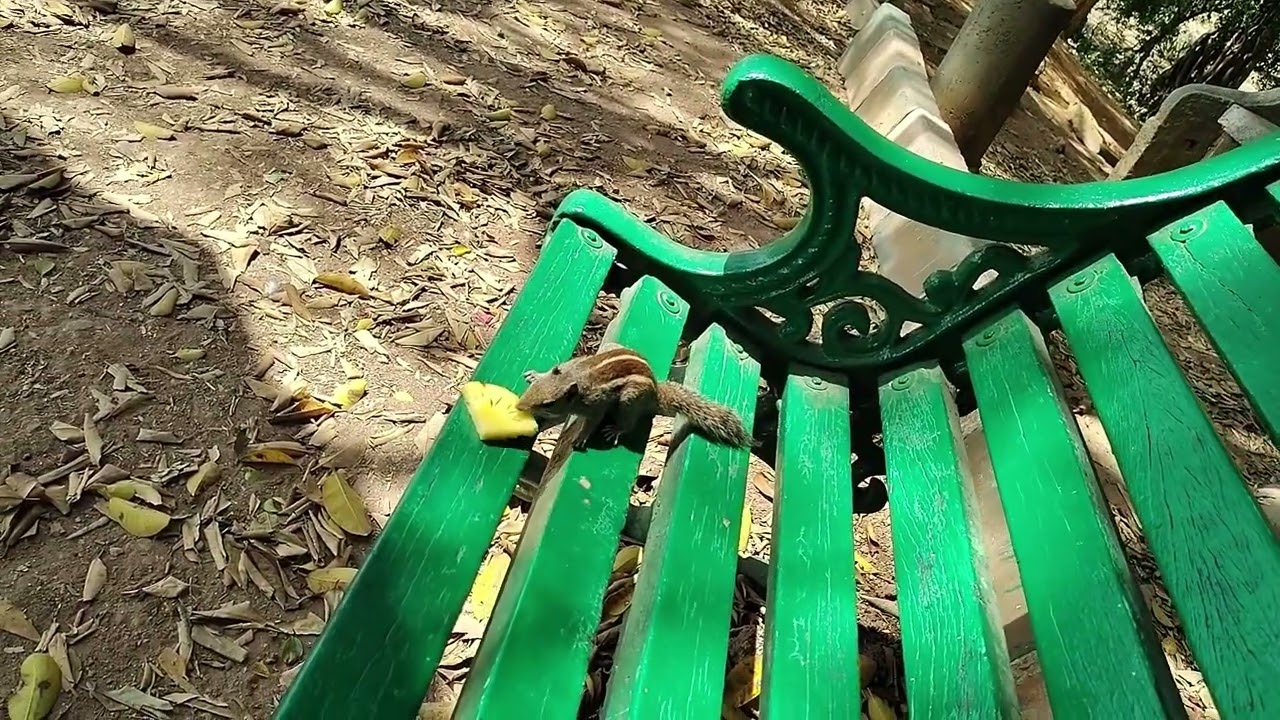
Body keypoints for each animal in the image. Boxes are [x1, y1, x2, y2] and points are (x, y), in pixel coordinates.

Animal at [516, 347, 754, 450]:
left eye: (549, 403)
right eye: (535, 388)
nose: (520, 407)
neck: (575, 377)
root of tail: (656, 394)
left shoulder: (595, 405)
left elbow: (592, 422)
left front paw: (580, 438)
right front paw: (535, 374)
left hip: (629, 400)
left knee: (629, 422)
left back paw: (617, 429)